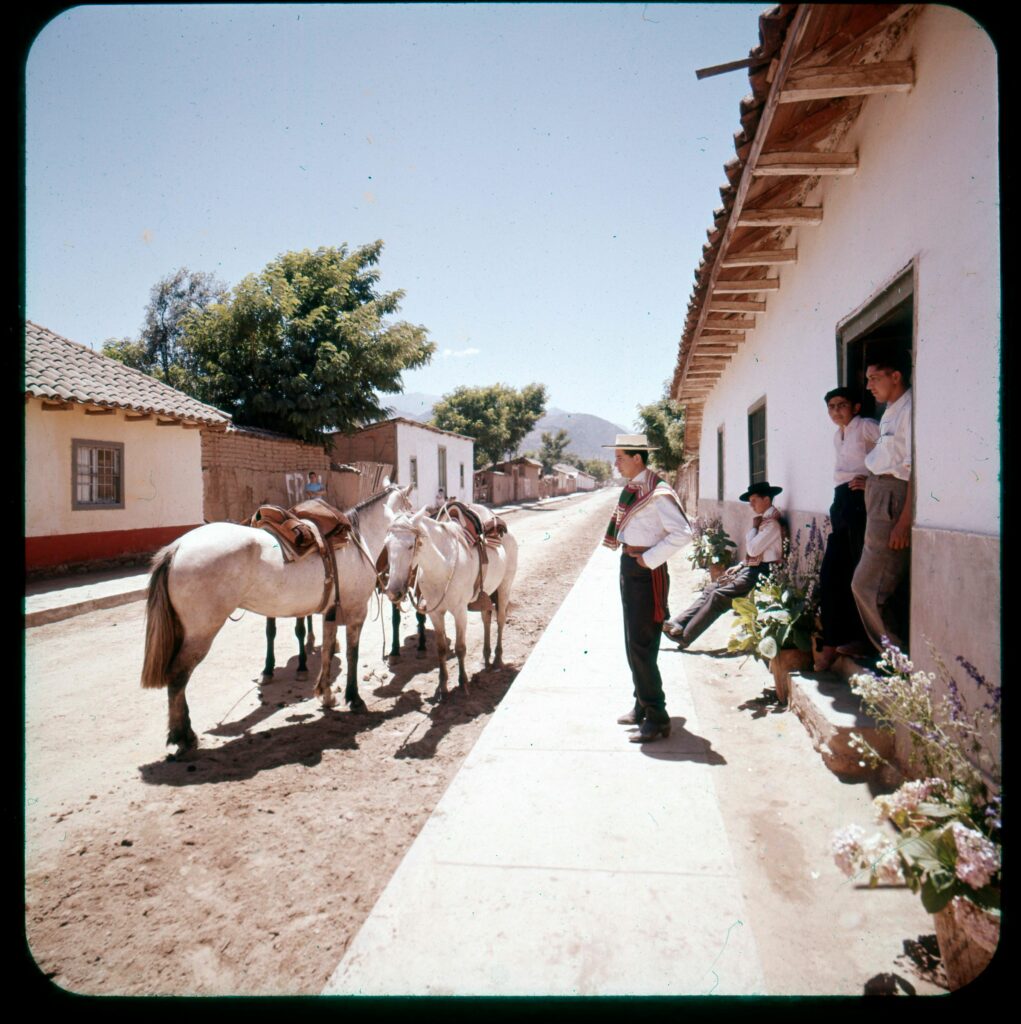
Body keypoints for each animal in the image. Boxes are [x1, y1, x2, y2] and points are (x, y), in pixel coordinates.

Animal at [140, 479, 409, 753]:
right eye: (410, 508)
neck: (359, 540)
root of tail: (177, 547)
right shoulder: (356, 611)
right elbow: (352, 655)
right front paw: (354, 699)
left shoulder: (330, 613)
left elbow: (326, 652)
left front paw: (326, 694)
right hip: (201, 632)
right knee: (178, 675)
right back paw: (182, 737)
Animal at [380, 507, 518, 700]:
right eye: (387, 546)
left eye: (410, 546)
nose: (393, 592)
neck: (441, 568)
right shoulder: (435, 613)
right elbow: (441, 649)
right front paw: (442, 686)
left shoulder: (460, 611)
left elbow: (460, 648)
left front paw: (463, 683)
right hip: (487, 593)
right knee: (486, 619)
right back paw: (486, 657)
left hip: (505, 586)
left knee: (501, 620)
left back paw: (497, 659)